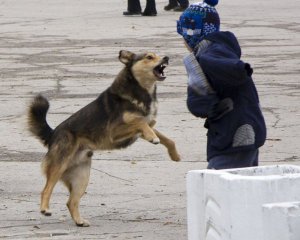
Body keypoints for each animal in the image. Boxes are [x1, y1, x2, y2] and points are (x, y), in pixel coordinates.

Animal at [27, 50, 180, 227]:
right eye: (149, 57)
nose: (166, 58)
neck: (140, 90)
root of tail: (52, 134)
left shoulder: (146, 127)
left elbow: (167, 139)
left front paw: (175, 155)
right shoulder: (114, 131)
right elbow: (141, 122)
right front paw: (153, 138)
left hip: (81, 176)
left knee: (71, 202)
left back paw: (79, 221)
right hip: (59, 165)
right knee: (46, 189)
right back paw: (45, 209)